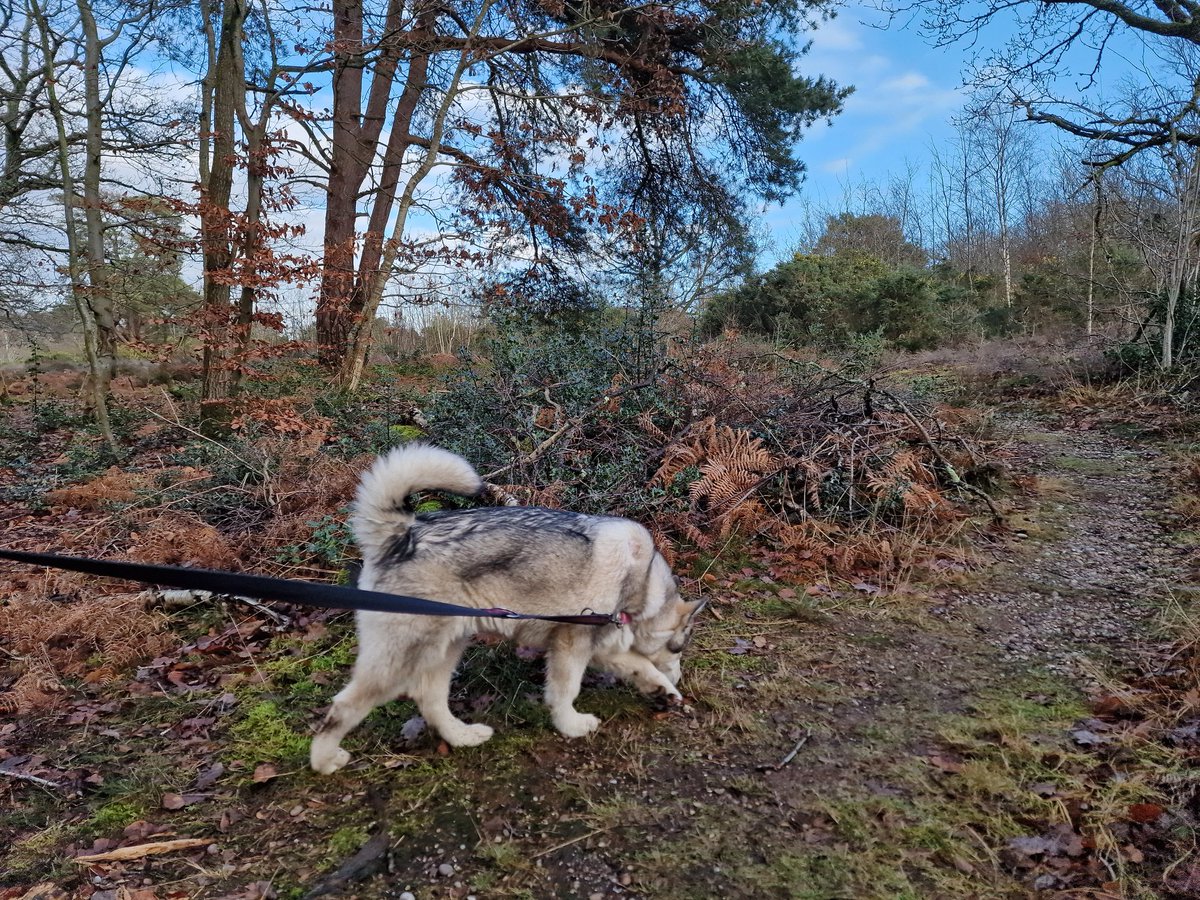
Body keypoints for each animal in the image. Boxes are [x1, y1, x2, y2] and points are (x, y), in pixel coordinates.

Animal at [309, 444, 700, 777]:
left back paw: (461, 736)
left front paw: (663, 689)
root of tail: (401, 535)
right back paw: (324, 760)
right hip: (397, 661)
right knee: (342, 708)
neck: (640, 579)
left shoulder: (601, 646)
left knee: (430, 701)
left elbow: (642, 666)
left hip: (445, 648)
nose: (682, 677)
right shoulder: (572, 645)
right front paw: (571, 725)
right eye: (679, 648)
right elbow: (566, 691)